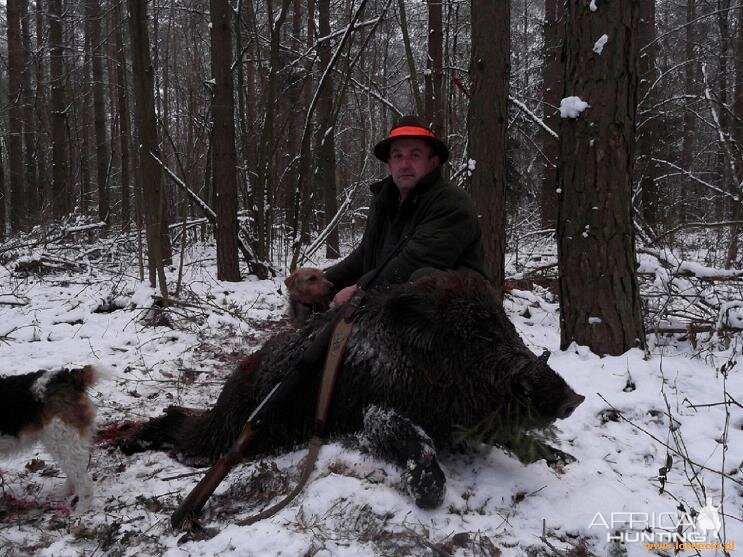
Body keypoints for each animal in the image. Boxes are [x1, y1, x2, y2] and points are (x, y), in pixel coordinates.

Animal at [0, 364, 107, 512]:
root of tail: (68, 377)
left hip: (62, 440)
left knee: (83, 481)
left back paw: (80, 510)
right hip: (63, 442)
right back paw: (62, 494)